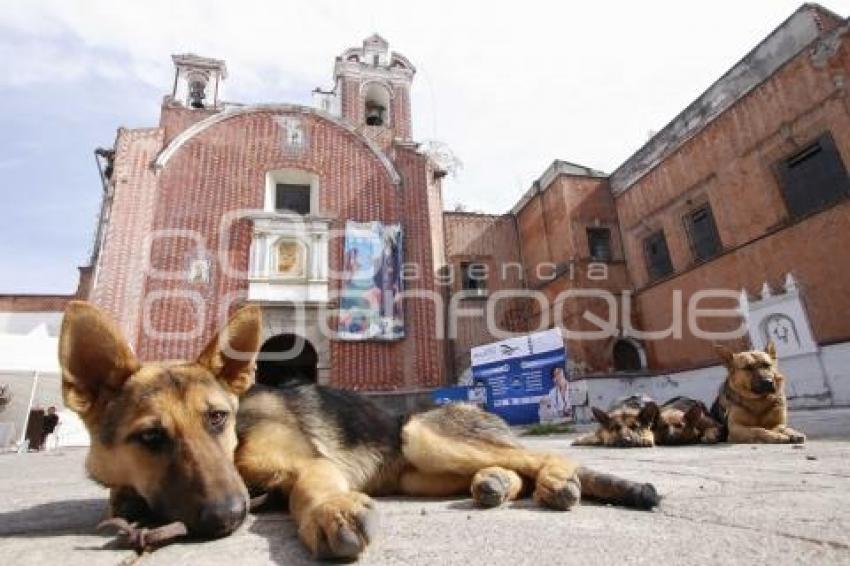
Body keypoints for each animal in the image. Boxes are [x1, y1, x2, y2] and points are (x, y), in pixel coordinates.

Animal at [59, 304, 660, 560]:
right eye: (150, 439)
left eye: (217, 419)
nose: (228, 517)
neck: (239, 439)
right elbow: (121, 497)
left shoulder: (309, 466)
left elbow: (309, 488)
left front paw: (332, 512)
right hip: (420, 474)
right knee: (512, 470)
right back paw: (495, 484)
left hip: (421, 436)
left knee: (542, 462)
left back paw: (555, 479)